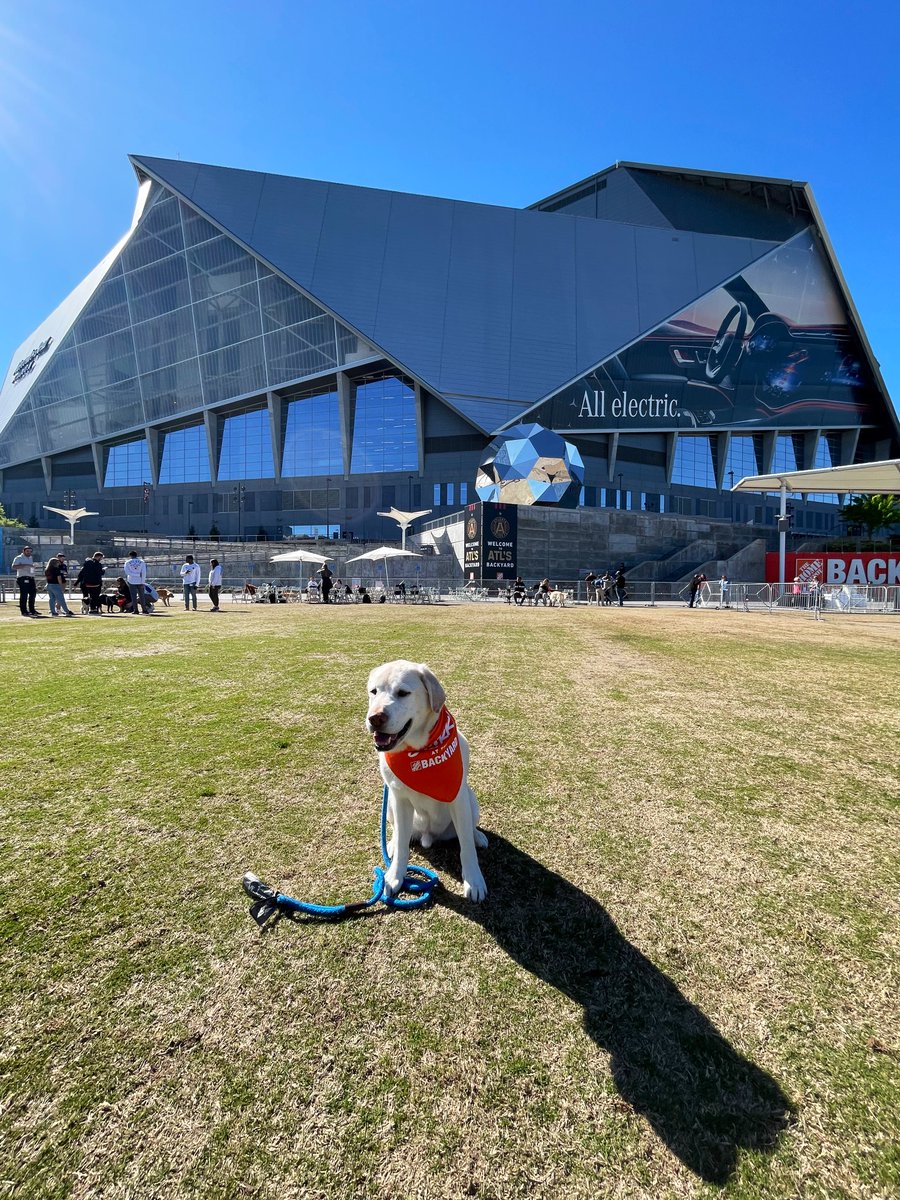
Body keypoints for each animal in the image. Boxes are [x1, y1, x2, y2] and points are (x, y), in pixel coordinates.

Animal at [364, 662, 489, 902]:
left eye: (403, 693)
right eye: (373, 691)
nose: (375, 718)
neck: (420, 751)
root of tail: (429, 835)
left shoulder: (458, 797)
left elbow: (466, 846)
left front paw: (474, 880)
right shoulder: (399, 799)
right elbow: (403, 846)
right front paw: (394, 876)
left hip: (471, 800)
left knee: (469, 830)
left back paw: (478, 836)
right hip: (390, 806)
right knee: (397, 832)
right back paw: (391, 844)